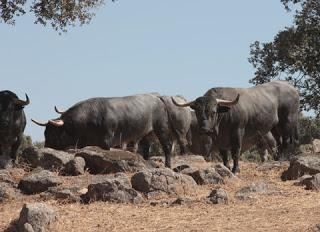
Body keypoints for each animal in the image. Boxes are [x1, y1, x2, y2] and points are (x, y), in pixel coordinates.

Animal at [31, 93, 191, 168]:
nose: (46, 148)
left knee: (167, 146)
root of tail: (158, 98)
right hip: (147, 133)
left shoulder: (106, 141)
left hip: (161, 129)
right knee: (146, 148)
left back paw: (168, 165)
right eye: (45, 133)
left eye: (53, 133)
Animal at [172, 80, 300, 173]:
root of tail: (292, 87)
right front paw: (226, 168)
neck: (223, 117)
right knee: (278, 142)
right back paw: (278, 159)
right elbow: (224, 154)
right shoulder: (219, 138)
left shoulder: (237, 132)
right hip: (275, 126)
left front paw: (235, 169)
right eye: (198, 112)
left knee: (286, 141)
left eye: (213, 112)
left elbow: (235, 151)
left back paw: (282, 159)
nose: (205, 129)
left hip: (288, 121)